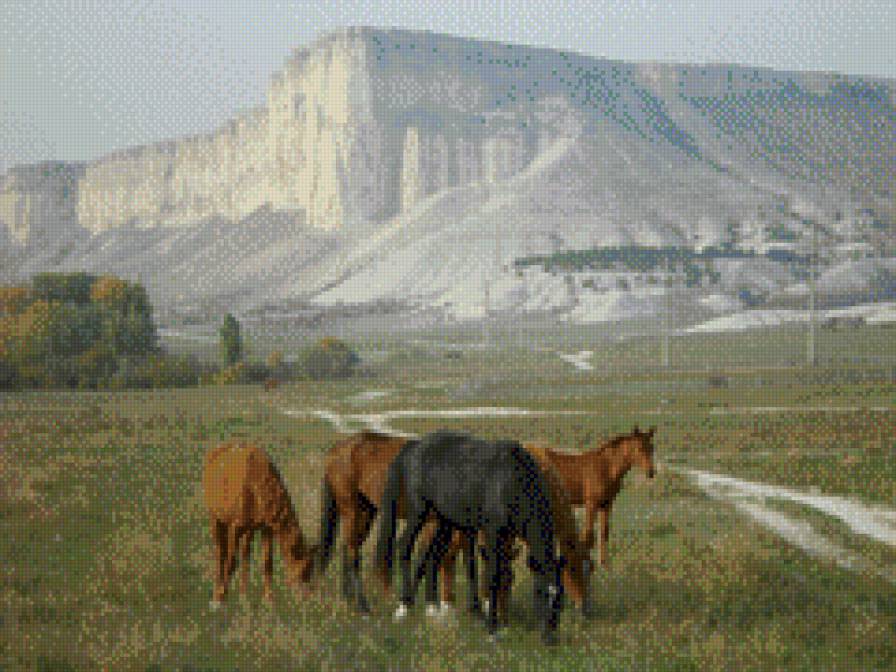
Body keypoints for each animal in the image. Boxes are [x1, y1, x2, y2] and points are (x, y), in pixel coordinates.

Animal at [201, 440, 316, 608]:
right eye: (304, 569)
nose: (306, 598)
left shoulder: (263, 528)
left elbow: (266, 562)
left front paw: (267, 600)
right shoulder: (235, 526)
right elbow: (232, 561)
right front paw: (219, 598)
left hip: (241, 528)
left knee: (237, 554)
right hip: (215, 518)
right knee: (220, 553)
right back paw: (218, 592)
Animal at [376, 434, 568, 644]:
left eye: (560, 598)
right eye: (540, 593)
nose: (549, 638)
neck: (512, 481)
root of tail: (415, 445)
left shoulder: (502, 536)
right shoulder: (493, 533)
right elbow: (492, 576)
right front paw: (492, 629)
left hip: (444, 519)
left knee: (432, 556)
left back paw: (433, 610)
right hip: (420, 511)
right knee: (405, 545)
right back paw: (404, 606)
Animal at [524, 426, 656, 568]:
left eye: (652, 447)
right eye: (639, 448)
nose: (651, 472)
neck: (606, 468)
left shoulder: (606, 504)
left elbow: (603, 532)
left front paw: (604, 564)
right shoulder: (591, 503)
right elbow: (588, 534)